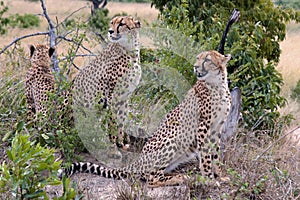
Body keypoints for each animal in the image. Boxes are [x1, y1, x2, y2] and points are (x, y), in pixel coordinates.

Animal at [60, 50, 232, 188]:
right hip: (173, 136)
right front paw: (209, 179)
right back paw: (179, 178)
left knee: (153, 174)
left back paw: (177, 176)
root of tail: (139, 160)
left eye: (207, 60)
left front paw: (219, 176)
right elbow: (206, 156)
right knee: (151, 179)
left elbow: (215, 154)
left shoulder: (217, 128)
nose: (195, 67)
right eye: (198, 58)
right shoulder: (203, 127)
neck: (217, 85)